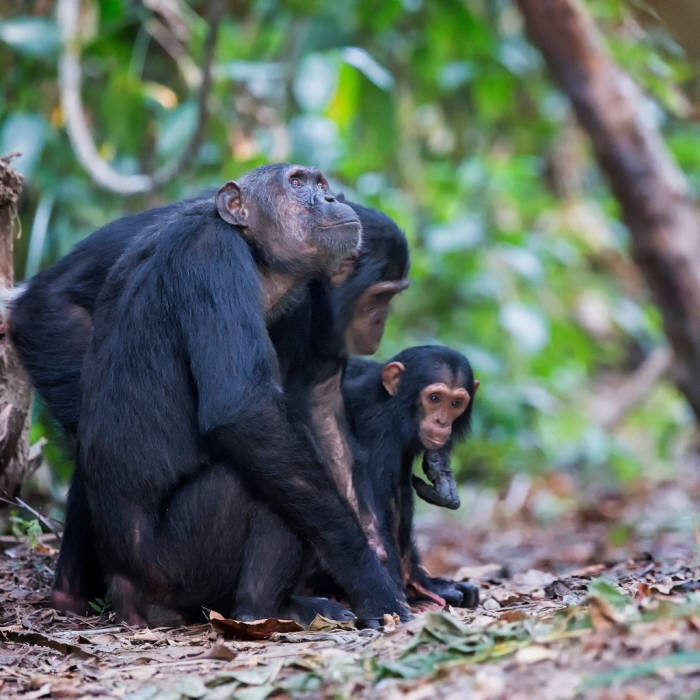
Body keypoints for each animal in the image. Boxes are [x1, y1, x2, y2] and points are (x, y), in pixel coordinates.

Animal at [19, 164, 410, 624]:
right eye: (297, 183)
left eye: (322, 184)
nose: (331, 199)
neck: (255, 254)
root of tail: (127, 593)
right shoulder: (215, 258)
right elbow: (247, 409)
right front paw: (368, 578)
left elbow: (319, 405)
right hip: (173, 568)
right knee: (266, 477)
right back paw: (265, 610)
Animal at [344, 348, 482, 608]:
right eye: (435, 398)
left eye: (455, 403)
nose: (441, 422)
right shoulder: (377, 429)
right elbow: (375, 509)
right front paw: (395, 593)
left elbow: (399, 495)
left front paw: (422, 584)